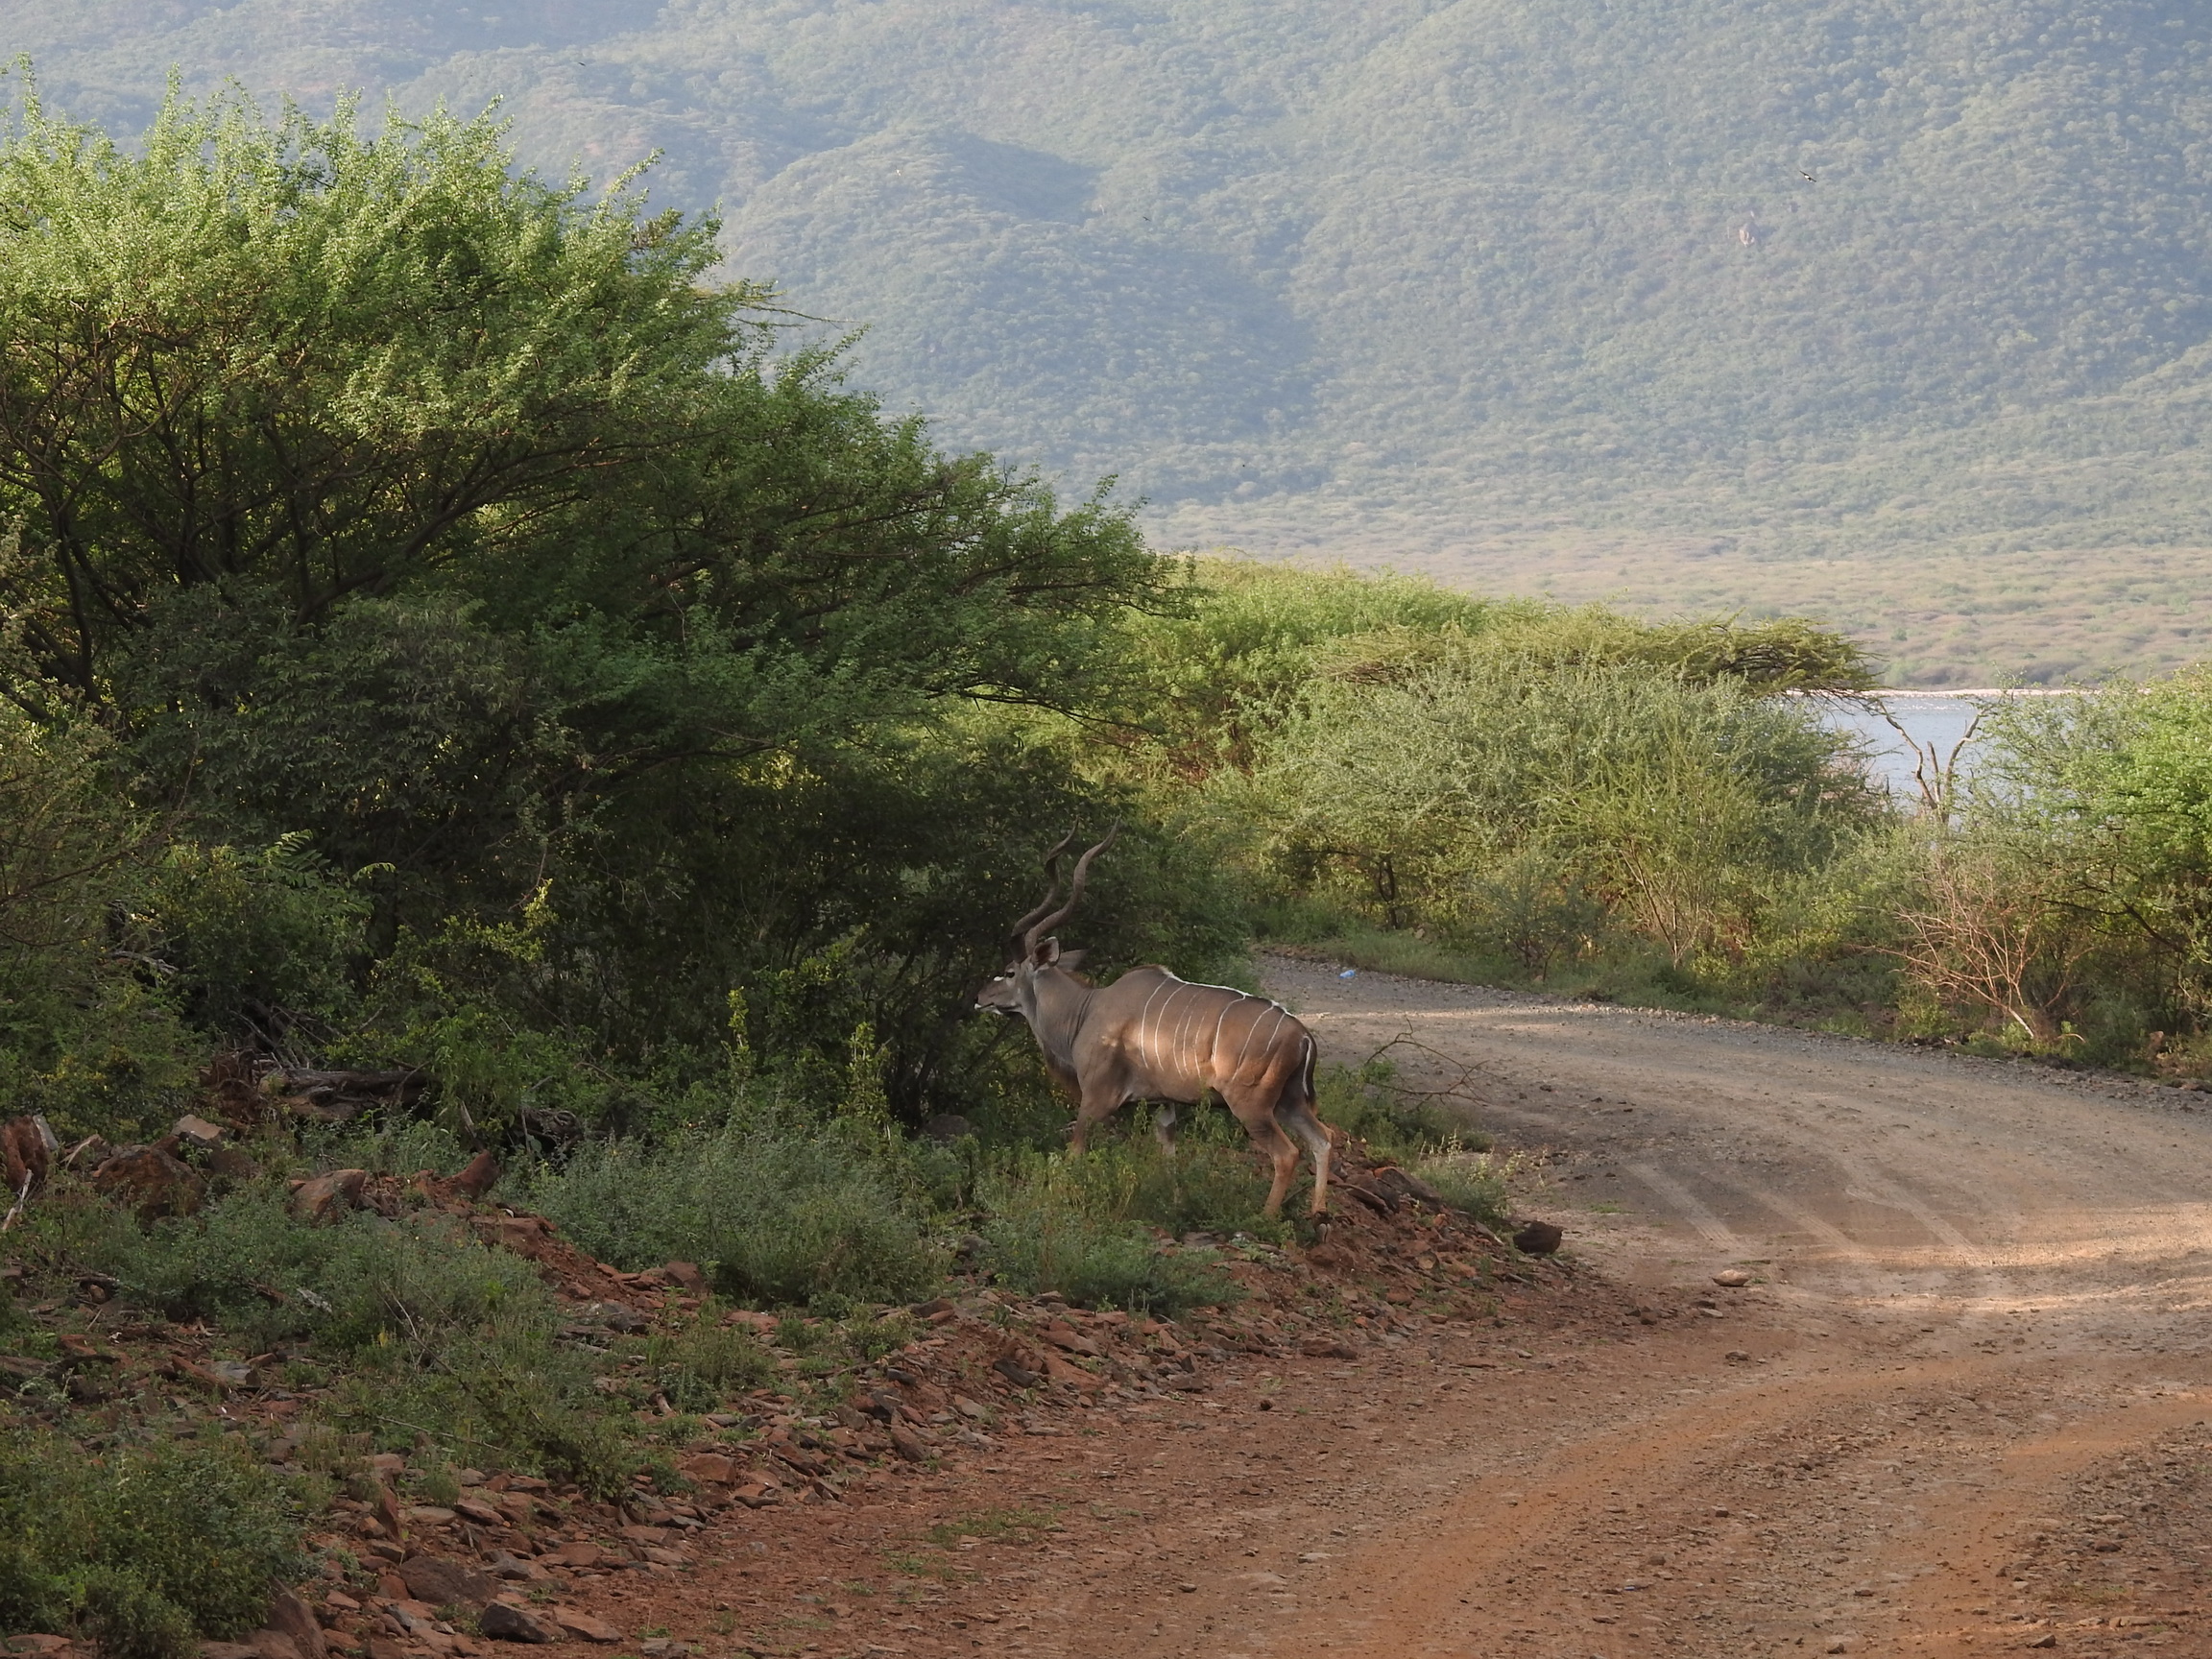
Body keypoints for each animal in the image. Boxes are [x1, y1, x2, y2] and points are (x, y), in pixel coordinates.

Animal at [981, 835, 1327, 1212]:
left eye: (1010, 972)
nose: (981, 996)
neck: (1086, 1010)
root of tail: (1303, 1036)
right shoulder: (1163, 1104)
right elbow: (1168, 1151)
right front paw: (1174, 1203)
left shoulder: (1096, 1098)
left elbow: (1075, 1150)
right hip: (1290, 1101)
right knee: (1323, 1138)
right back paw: (1318, 1214)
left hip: (1253, 1107)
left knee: (1288, 1154)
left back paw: (1266, 1217)